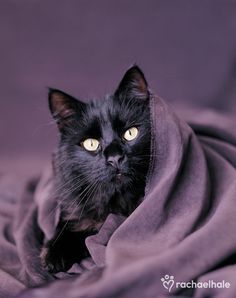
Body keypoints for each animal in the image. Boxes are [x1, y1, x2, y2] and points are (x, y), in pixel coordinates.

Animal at [40, 64, 151, 272]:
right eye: (90, 144)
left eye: (130, 133)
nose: (115, 158)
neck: (116, 202)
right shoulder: (75, 212)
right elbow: (65, 230)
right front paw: (52, 255)